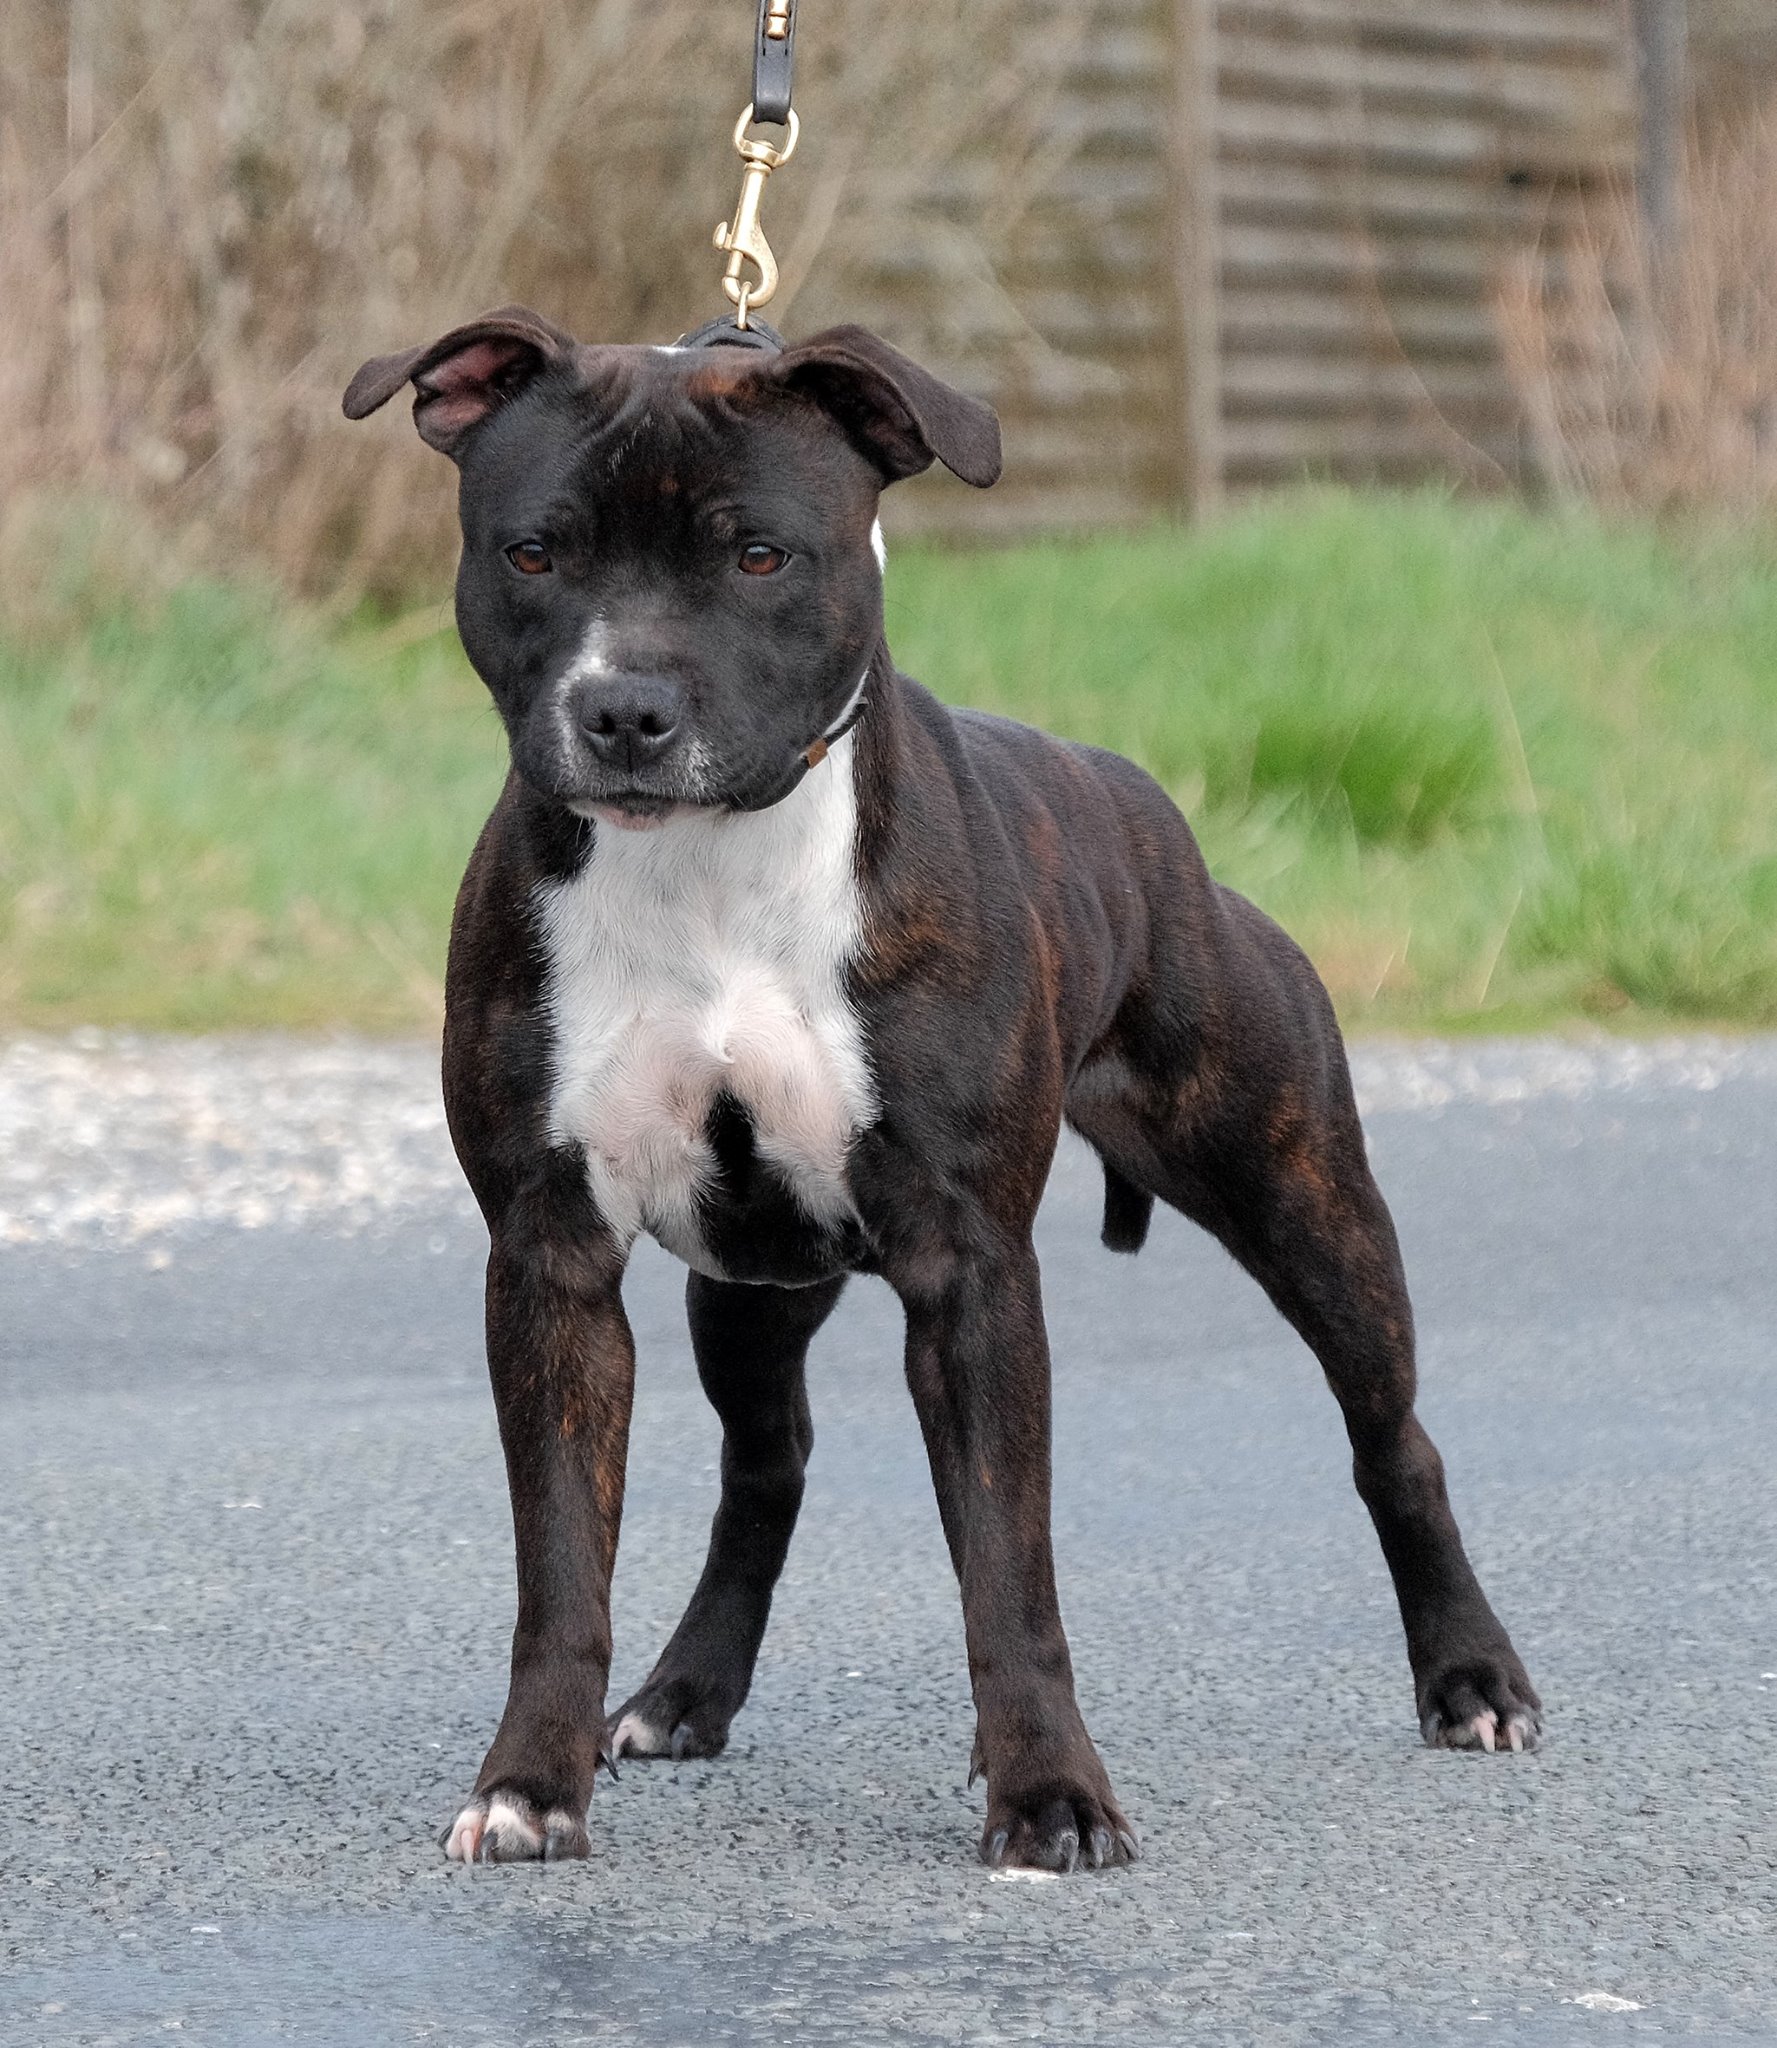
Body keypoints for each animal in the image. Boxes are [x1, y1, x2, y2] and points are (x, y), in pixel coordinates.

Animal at [348, 307, 1539, 1875]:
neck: (708, 871)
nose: (623, 708)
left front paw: (1049, 1794)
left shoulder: (970, 1272)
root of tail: (1147, 809)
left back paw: (1471, 1676)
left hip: (1305, 1199)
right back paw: (685, 1691)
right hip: (752, 1283)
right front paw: (531, 1782)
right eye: (533, 552)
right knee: (768, 1462)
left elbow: (1007, 1565)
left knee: (1393, 1437)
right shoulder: (552, 1264)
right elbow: (561, 1570)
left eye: (760, 556)